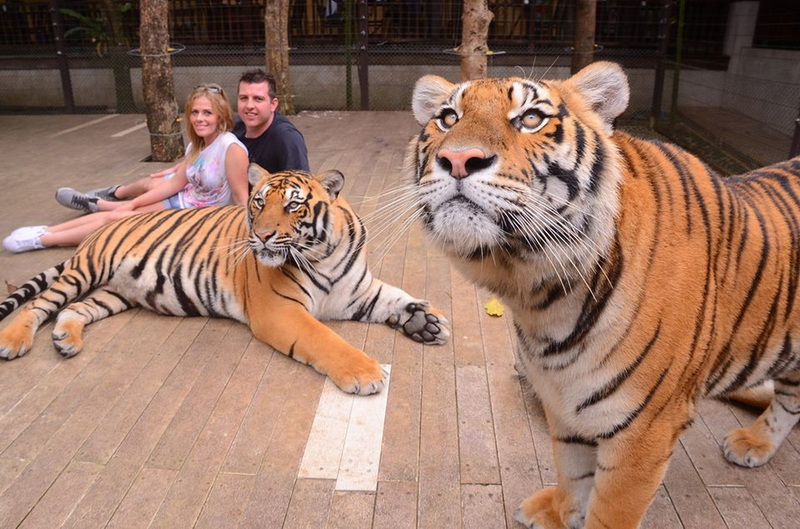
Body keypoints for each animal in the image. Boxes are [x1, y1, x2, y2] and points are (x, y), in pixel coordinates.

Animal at [0, 165, 451, 395]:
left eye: (293, 206)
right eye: (258, 202)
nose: (263, 236)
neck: (323, 254)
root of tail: (101, 228)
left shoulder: (358, 292)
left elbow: (397, 297)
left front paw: (426, 322)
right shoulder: (280, 311)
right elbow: (327, 339)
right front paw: (365, 373)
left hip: (115, 293)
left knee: (75, 309)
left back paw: (66, 340)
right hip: (86, 270)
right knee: (40, 303)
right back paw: (13, 340)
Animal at [407, 61, 800, 528]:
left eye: (531, 118)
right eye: (448, 118)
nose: (458, 159)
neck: (540, 293)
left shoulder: (645, 429)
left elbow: (610, 509)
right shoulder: (563, 400)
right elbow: (574, 471)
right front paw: (561, 513)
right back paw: (756, 444)